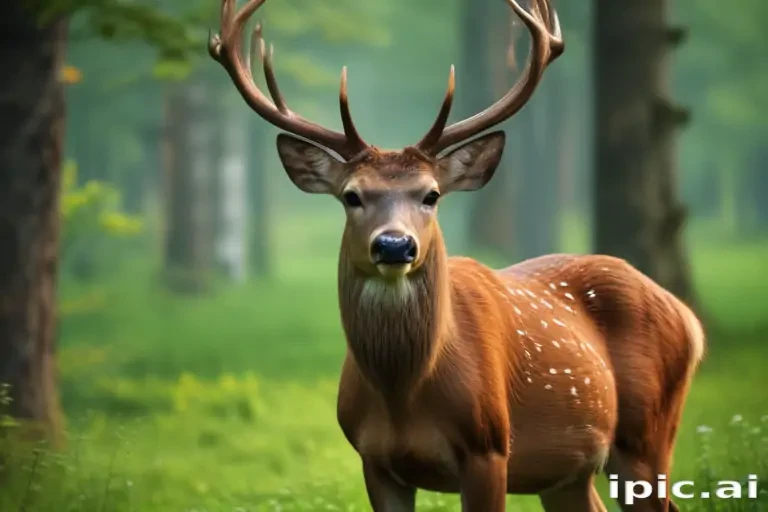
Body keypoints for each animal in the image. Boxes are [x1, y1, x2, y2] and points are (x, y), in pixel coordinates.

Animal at [208, 0, 706, 510]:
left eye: (431, 195)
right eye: (351, 196)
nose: (394, 244)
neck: (403, 395)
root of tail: (688, 317)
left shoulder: (489, 448)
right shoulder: (373, 459)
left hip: (647, 433)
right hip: (569, 473)